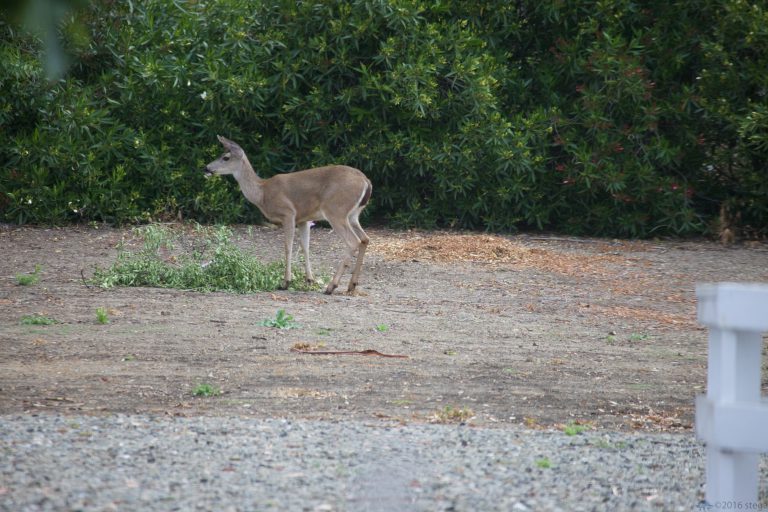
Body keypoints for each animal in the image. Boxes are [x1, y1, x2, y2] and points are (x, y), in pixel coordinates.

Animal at [203, 135, 373, 295]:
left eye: (226, 157)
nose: (206, 168)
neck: (262, 193)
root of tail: (366, 182)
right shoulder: (304, 219)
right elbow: (305, 246)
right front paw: (309, 279)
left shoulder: (288, 213)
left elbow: (288, 246)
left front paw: (285, 282)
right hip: (353, 215)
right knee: (365, 239)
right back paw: (351, 285)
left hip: (336, 210)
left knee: (353, 241)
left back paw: (331, 286)